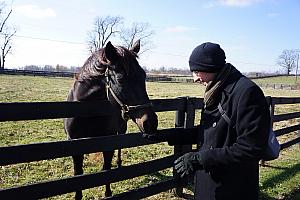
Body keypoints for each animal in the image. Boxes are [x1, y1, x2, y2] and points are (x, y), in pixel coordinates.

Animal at [63, 39, 157, 199]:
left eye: (144, 76)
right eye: (120, 79)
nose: (151, 122)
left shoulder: (108, 141)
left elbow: (107, 170)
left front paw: (108, 193)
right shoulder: (75, 145)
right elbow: (78, 174)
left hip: (122, 128)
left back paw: (118, 162)